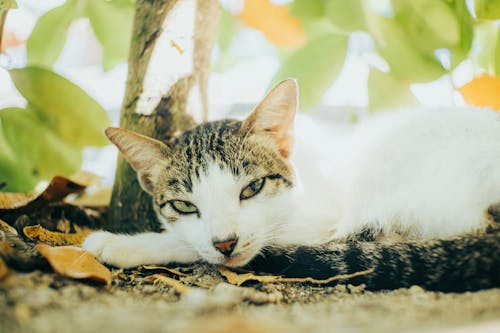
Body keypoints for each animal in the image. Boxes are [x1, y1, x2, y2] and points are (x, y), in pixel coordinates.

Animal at [84, 79, 500, 290]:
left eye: (251, 189)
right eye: (185, 205)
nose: (225, 242)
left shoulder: (319, 219)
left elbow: (212, 244)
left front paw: (122, 243)